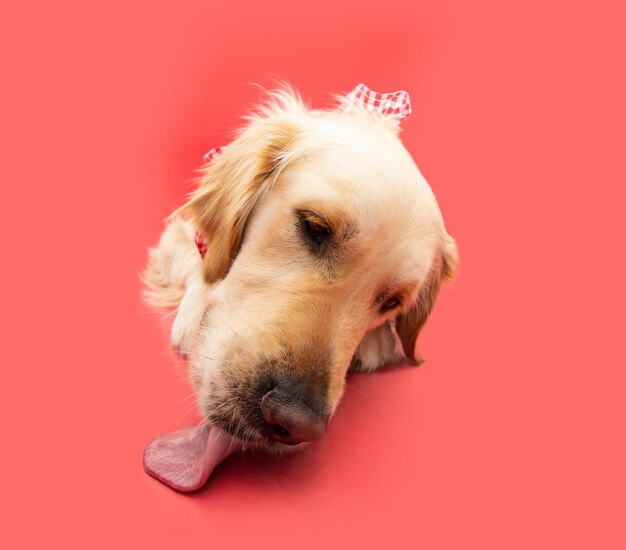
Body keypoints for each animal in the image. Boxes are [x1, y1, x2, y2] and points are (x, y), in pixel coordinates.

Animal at [144, 83, 456, 452]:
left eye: (392, 302)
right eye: (315, 227)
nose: (294, 422)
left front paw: (375, 339)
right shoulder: (174, 237)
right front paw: (195, 311)